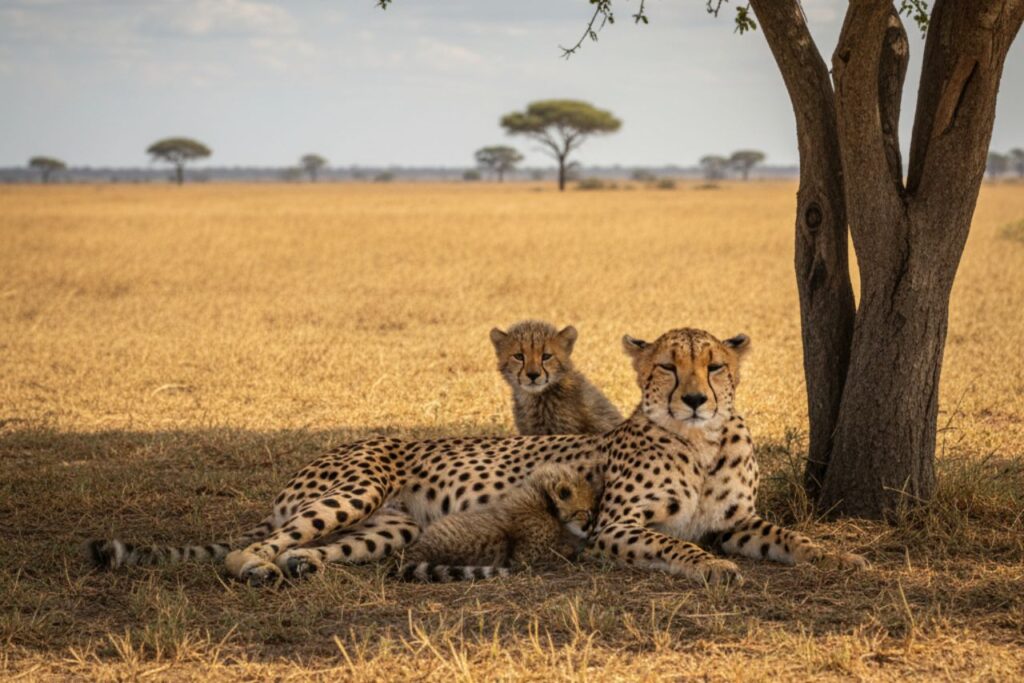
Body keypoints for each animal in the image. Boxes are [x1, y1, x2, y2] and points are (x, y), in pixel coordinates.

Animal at [395, 462, 600, 582]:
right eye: (585, 512)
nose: (589, 528)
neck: (541, 496)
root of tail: (416, 551)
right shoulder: (524, 558)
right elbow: (563, 552)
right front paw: (577, 550)